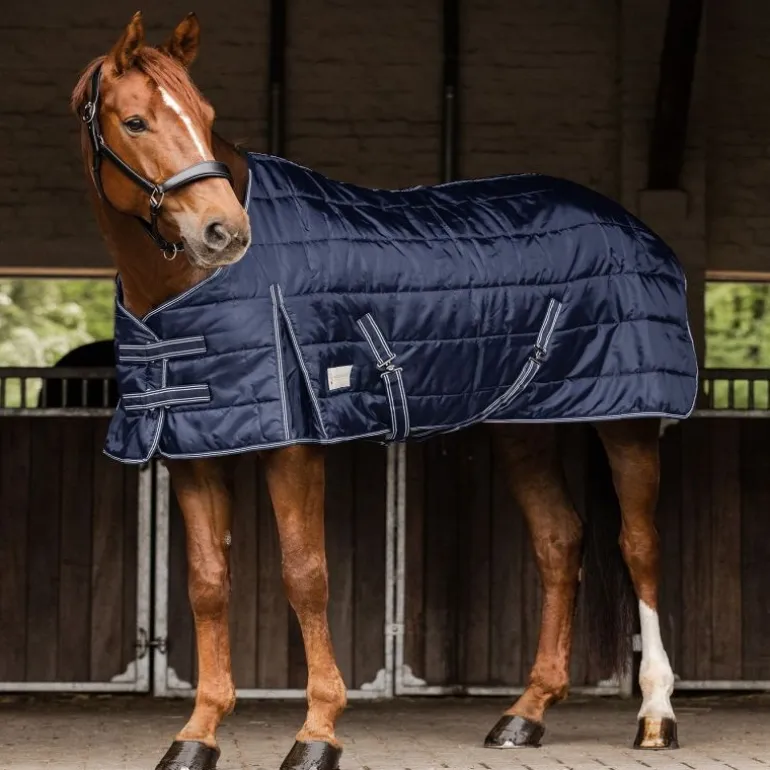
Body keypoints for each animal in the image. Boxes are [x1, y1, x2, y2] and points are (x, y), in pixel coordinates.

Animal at [71, 13, 696, 770]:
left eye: (207, 116)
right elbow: (207, 585)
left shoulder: (294, 443)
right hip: (523, 425)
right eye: (135, 121)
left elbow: (305, 575)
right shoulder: (194, 448)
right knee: (559, 542)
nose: (225, 232)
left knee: (640, 546)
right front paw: (196, 734)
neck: (183, 295)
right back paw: (525, 714)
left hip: (628, 419)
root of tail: (633, 227)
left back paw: (657, 714)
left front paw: (317, 734)